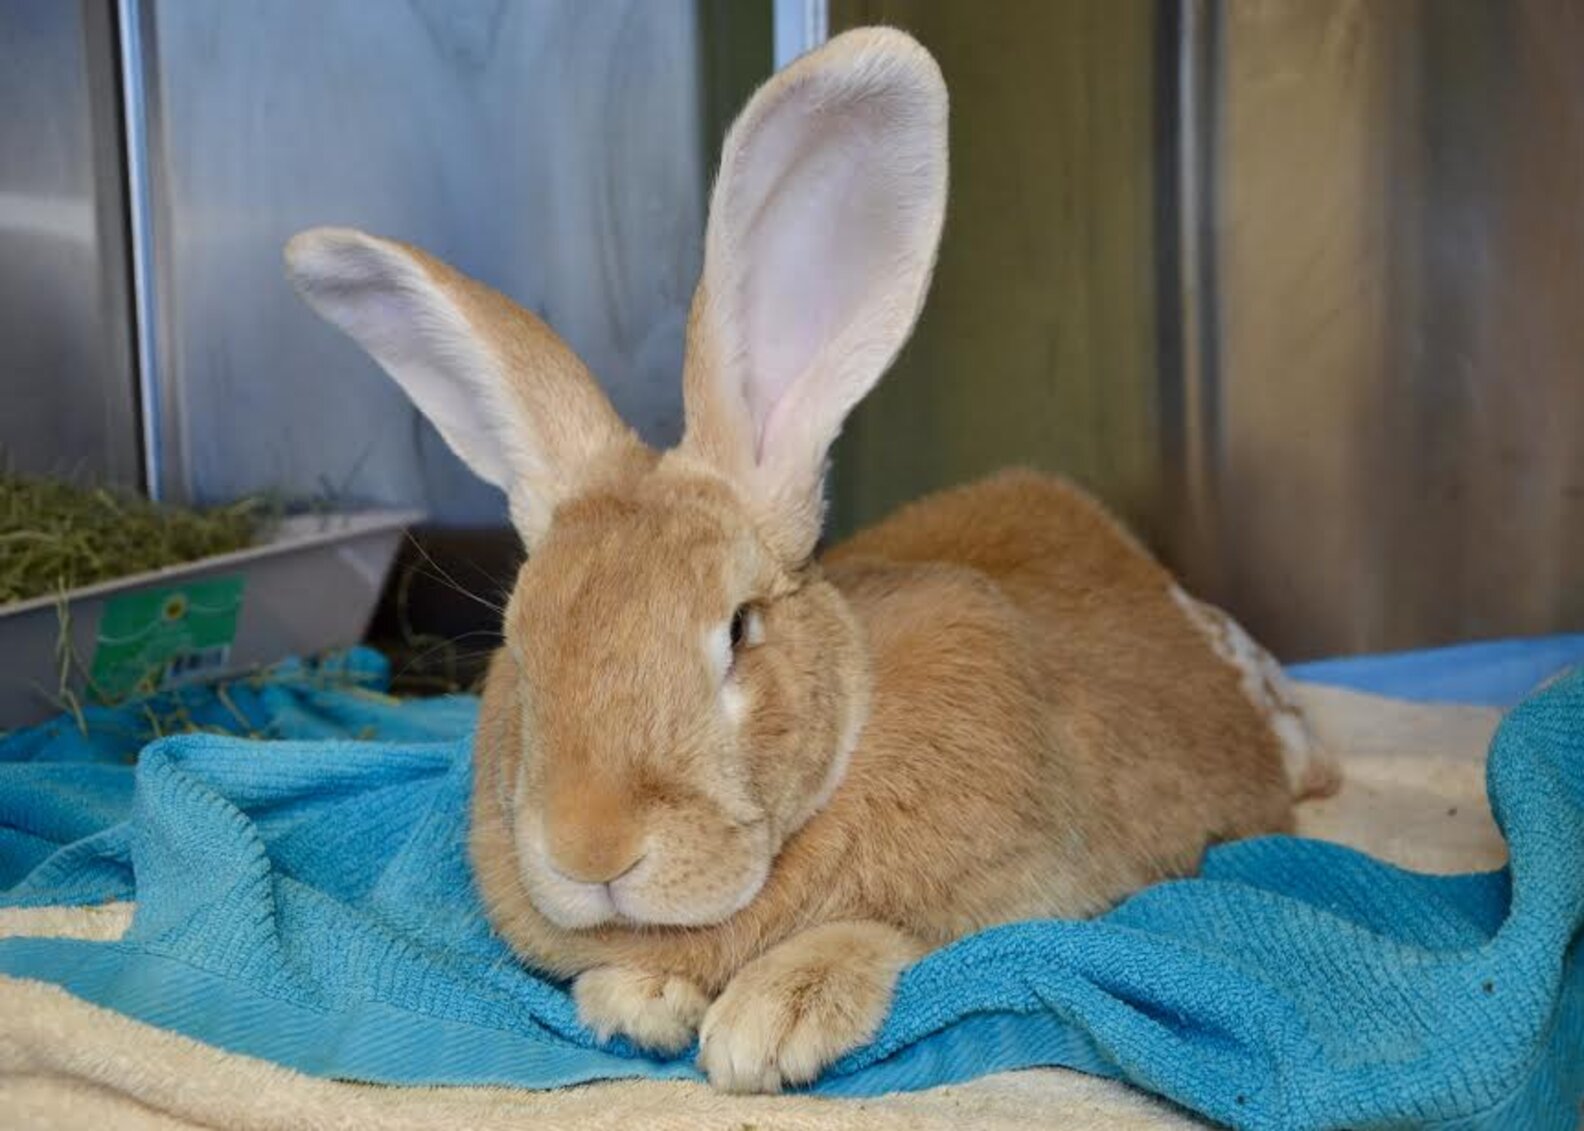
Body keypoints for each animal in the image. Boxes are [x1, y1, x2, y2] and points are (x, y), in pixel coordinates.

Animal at [285, 26, 1338, 1094]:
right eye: (519, 646)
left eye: (739, 631)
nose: (592, 849)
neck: (852, 729)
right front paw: (636, 999)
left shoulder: (1028, 889)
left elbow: (888, 930)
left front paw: (771, 1020)